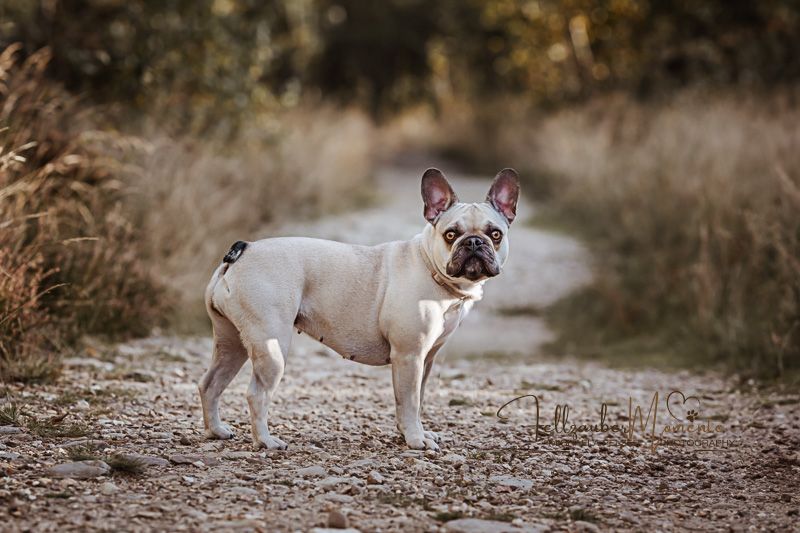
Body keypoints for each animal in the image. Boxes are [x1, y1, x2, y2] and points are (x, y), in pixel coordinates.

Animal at [199, 168, 520, 450]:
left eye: (495, 235)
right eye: (451, 235)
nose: (474, 242)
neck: (431, 267)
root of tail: (243, 249)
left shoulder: (426, 359)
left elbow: (418, 400)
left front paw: (415, 433)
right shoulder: (409, 355)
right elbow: (409, 401)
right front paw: (416, 440)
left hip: (232, 342)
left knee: (210, 384)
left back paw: (216, 431)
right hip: (271, 345)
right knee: (256, 394)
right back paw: (265, 441)